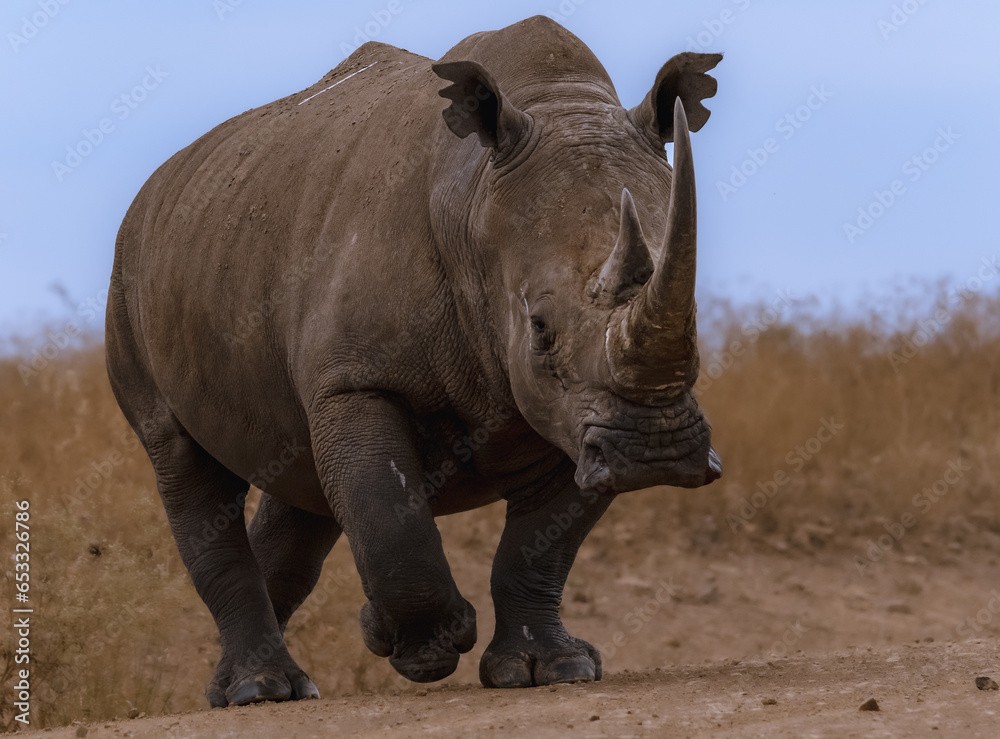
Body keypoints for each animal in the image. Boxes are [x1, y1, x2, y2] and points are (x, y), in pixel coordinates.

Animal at [106, 16, 723, 706]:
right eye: (539, 331)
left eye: (698, 316)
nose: (654, 451)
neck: (475, 201)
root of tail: (152, 191)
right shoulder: (359, 381)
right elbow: (387, 508)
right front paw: (420, 647)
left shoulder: (579, 414)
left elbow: (539, 548)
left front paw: (551, 670)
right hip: (129, 279)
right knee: (183, 460)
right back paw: (260, 691)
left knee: (303, 482)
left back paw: (238, 690)